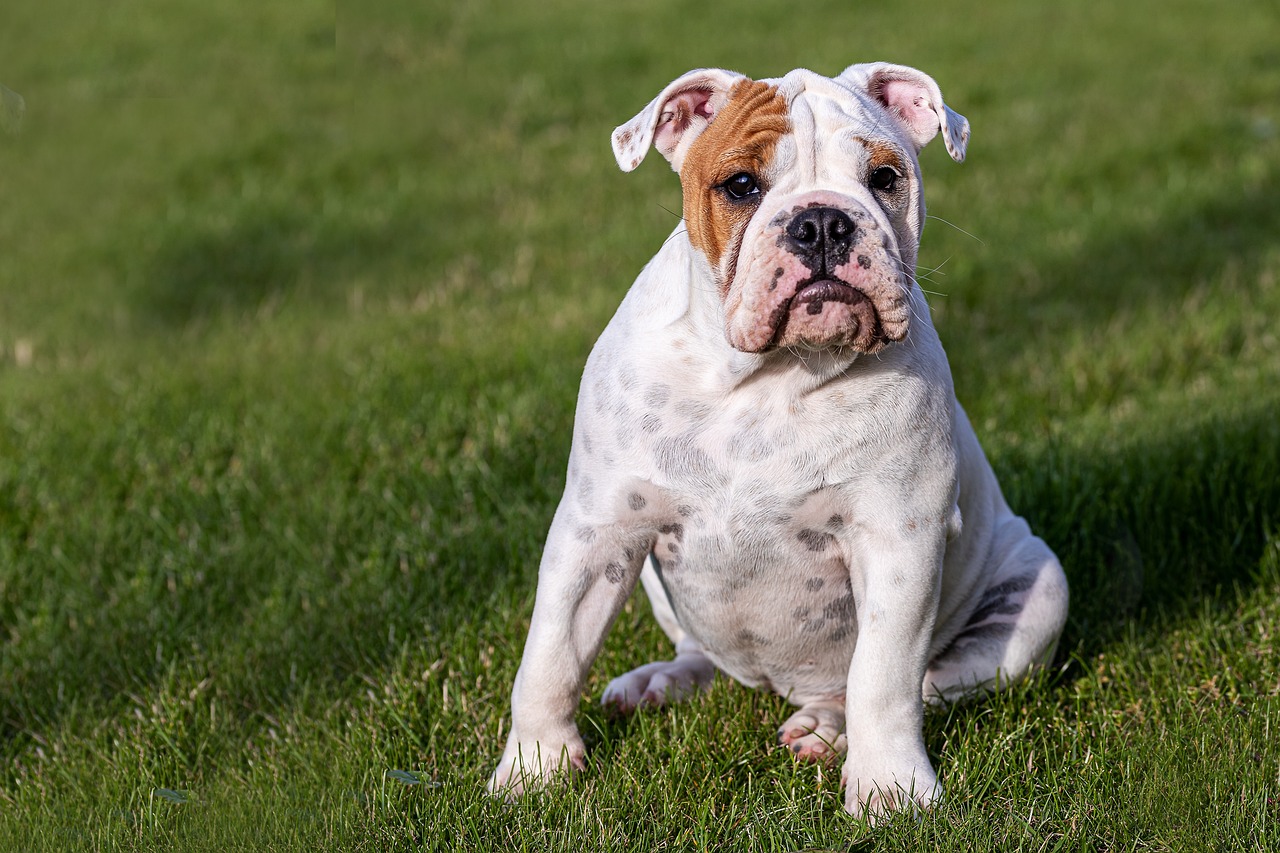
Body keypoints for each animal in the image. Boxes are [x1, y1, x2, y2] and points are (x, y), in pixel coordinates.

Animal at [488, 61, 1070, 819]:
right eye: (741, 185)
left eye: (885, 178)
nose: (821, 221)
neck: (768, 375)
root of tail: (776, 685)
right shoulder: (599, 529)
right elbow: (552, 654)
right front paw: (536, 768)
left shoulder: (898, 538)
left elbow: (884, 676)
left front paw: (889, 790)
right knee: (701, 651)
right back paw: (659, 682)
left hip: (1036, 595)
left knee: (923, 684)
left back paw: (826, 727)